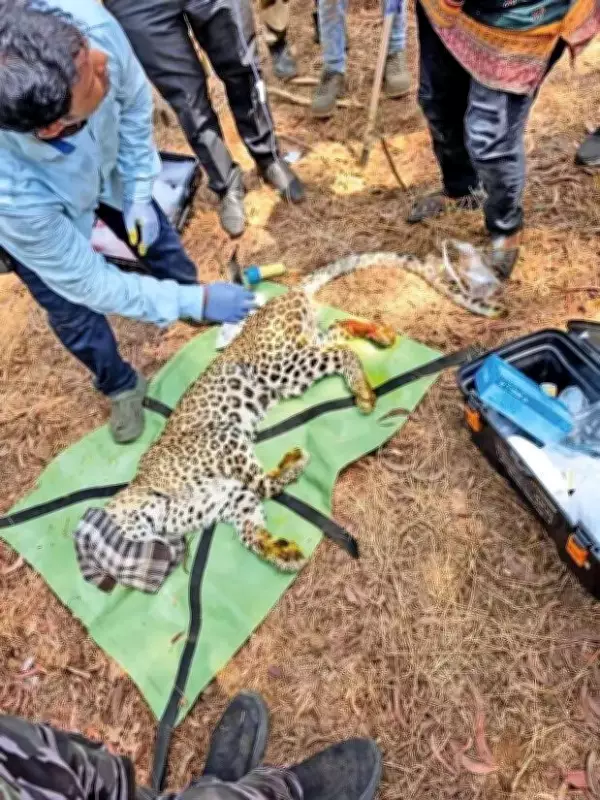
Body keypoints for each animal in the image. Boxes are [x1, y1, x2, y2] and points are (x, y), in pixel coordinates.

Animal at [102, 286, 396, 574]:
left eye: (131, 531)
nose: (161, 549)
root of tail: (284, 295)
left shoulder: (223, 437)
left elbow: (263, 484)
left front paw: (296, 461)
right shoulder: (234, 500)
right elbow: (250, 530)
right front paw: (282, 553)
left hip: (280, 367)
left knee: (341, 352)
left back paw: (363, 391)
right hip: (300, 353)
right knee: (336, 332)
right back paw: (381, 334)